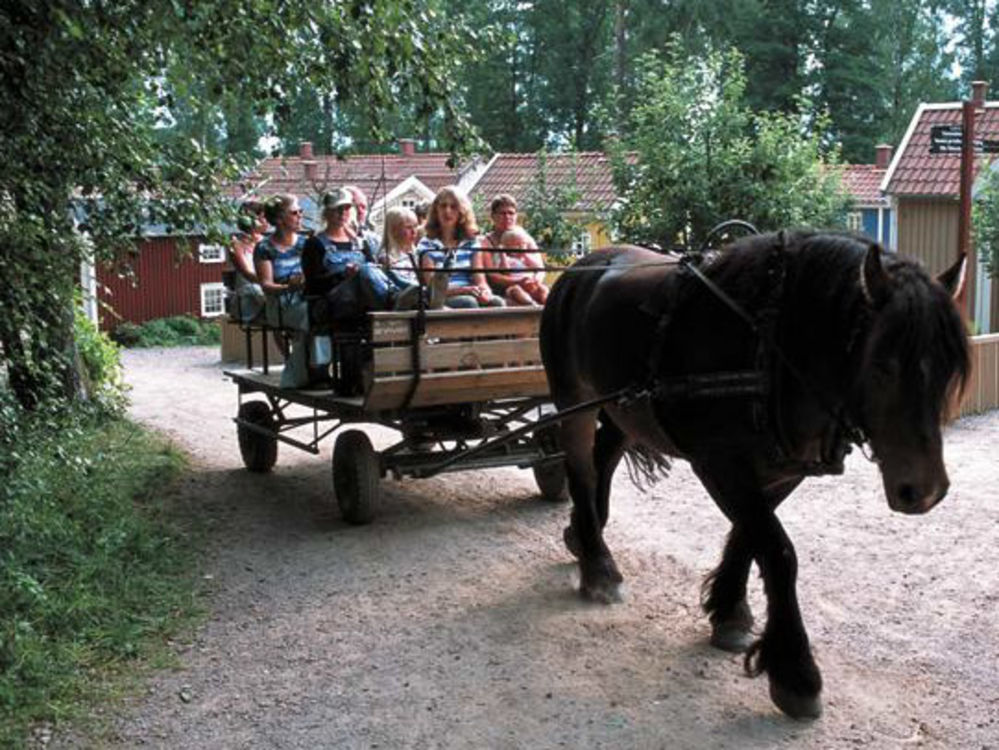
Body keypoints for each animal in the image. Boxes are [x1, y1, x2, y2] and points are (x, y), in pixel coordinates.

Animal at [544, 232, 972, 720]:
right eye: (883, 363)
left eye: (947, 369)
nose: (925, 491)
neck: (770, 350)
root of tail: (582, 267)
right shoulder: (719, 463)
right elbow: (777, 550)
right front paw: (795, 672)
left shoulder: (785, 470)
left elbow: (749, 536)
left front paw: (729, 610)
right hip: (573, 400)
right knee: (580, 469)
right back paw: (598, 565)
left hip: (622, 406)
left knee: (606, 455)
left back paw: (584, 533)